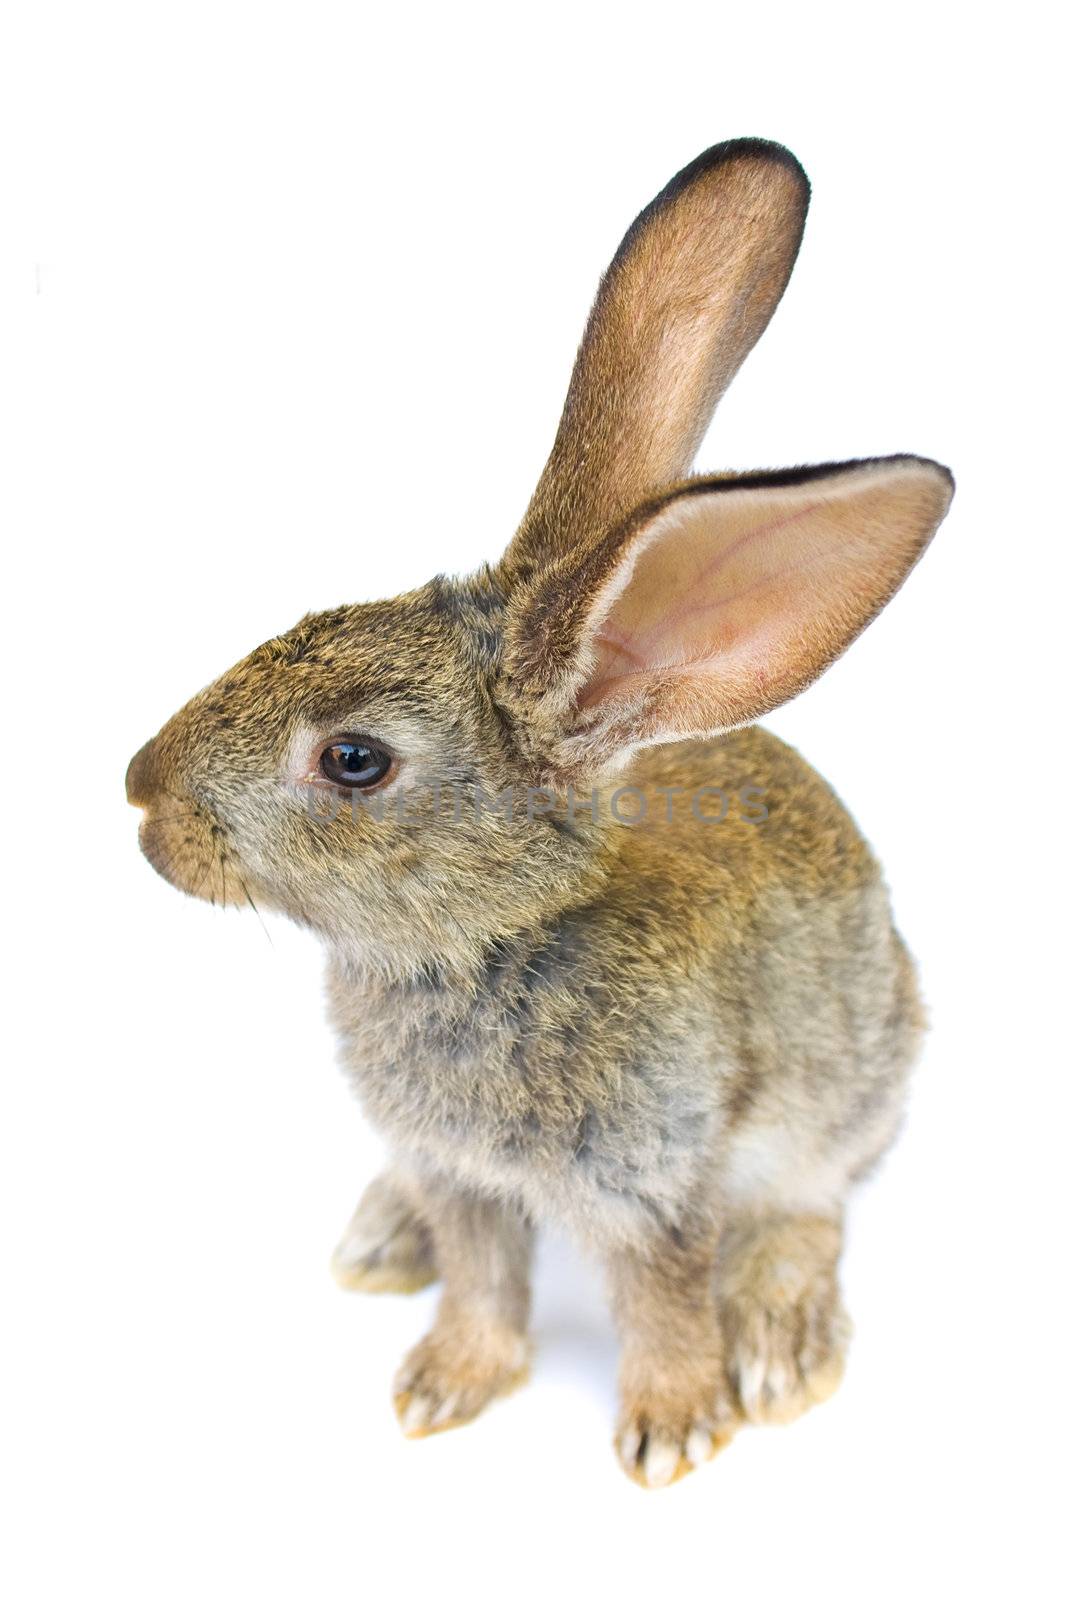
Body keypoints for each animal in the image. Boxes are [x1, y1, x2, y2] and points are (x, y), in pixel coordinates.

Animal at [129, 137, 953, 1484]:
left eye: (352, 759)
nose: (142, 795)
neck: (490, 945)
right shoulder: (458, 1173)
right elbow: (478, 1278)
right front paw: (443, 1384)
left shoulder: (648, 1178)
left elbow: (662, 1301)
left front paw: (673, 1428)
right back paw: (380, 1239)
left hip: (842, 1091)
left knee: (811, 1207)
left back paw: (783, 1346)